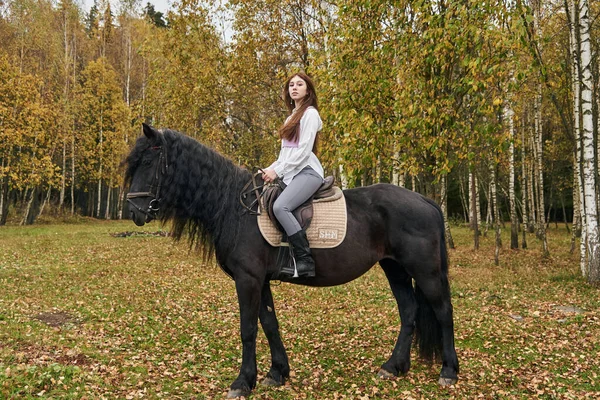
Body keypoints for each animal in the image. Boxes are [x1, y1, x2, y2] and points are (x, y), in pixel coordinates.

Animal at [125, 124, 460, 396]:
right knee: (409, 311)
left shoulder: (247, 279)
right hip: (395, 269)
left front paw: (242, 382)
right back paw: (393, 367)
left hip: (426, 271)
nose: (134, 212)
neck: (233, 207)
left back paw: (449, 372)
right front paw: (277, 373)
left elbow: (248, 328)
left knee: (443, 311)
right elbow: (269, 323)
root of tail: (426, 201)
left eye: (148, 162)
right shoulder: (259, 280)